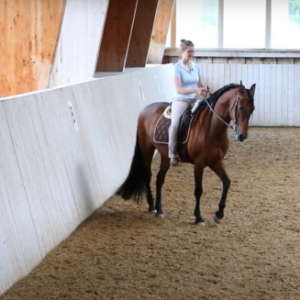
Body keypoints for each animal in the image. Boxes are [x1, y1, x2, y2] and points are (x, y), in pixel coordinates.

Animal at [115, 82, 255, 225]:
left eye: (252, 109)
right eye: (240, 107)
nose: (242, 136)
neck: (212, 129)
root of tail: (144, 110)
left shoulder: (216, 161)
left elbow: (226, 182)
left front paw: (219, 214)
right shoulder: (199, 163)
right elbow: (198, 190)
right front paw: (198, 217)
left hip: (166, 156)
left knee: (159, 179)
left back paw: (159, 210)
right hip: (147, 150)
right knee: (147, 175)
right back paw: (152, 206)